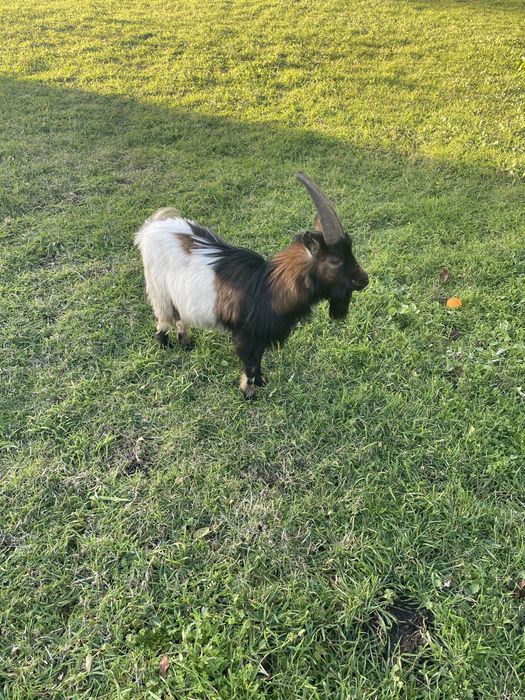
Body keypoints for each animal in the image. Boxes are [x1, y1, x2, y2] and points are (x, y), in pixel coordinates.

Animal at [134, 173, 369, 398]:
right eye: (335, 259)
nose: (364, 280)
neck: (267, 289)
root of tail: (152, 227)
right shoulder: (245, 334)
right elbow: (251, 363)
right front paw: (249, 393)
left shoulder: (261, 335)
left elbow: (259, 360)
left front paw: (261, 382)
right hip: (158, 288)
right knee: (163, 317)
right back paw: (165, 344)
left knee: (179, 315)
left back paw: (186, 343)